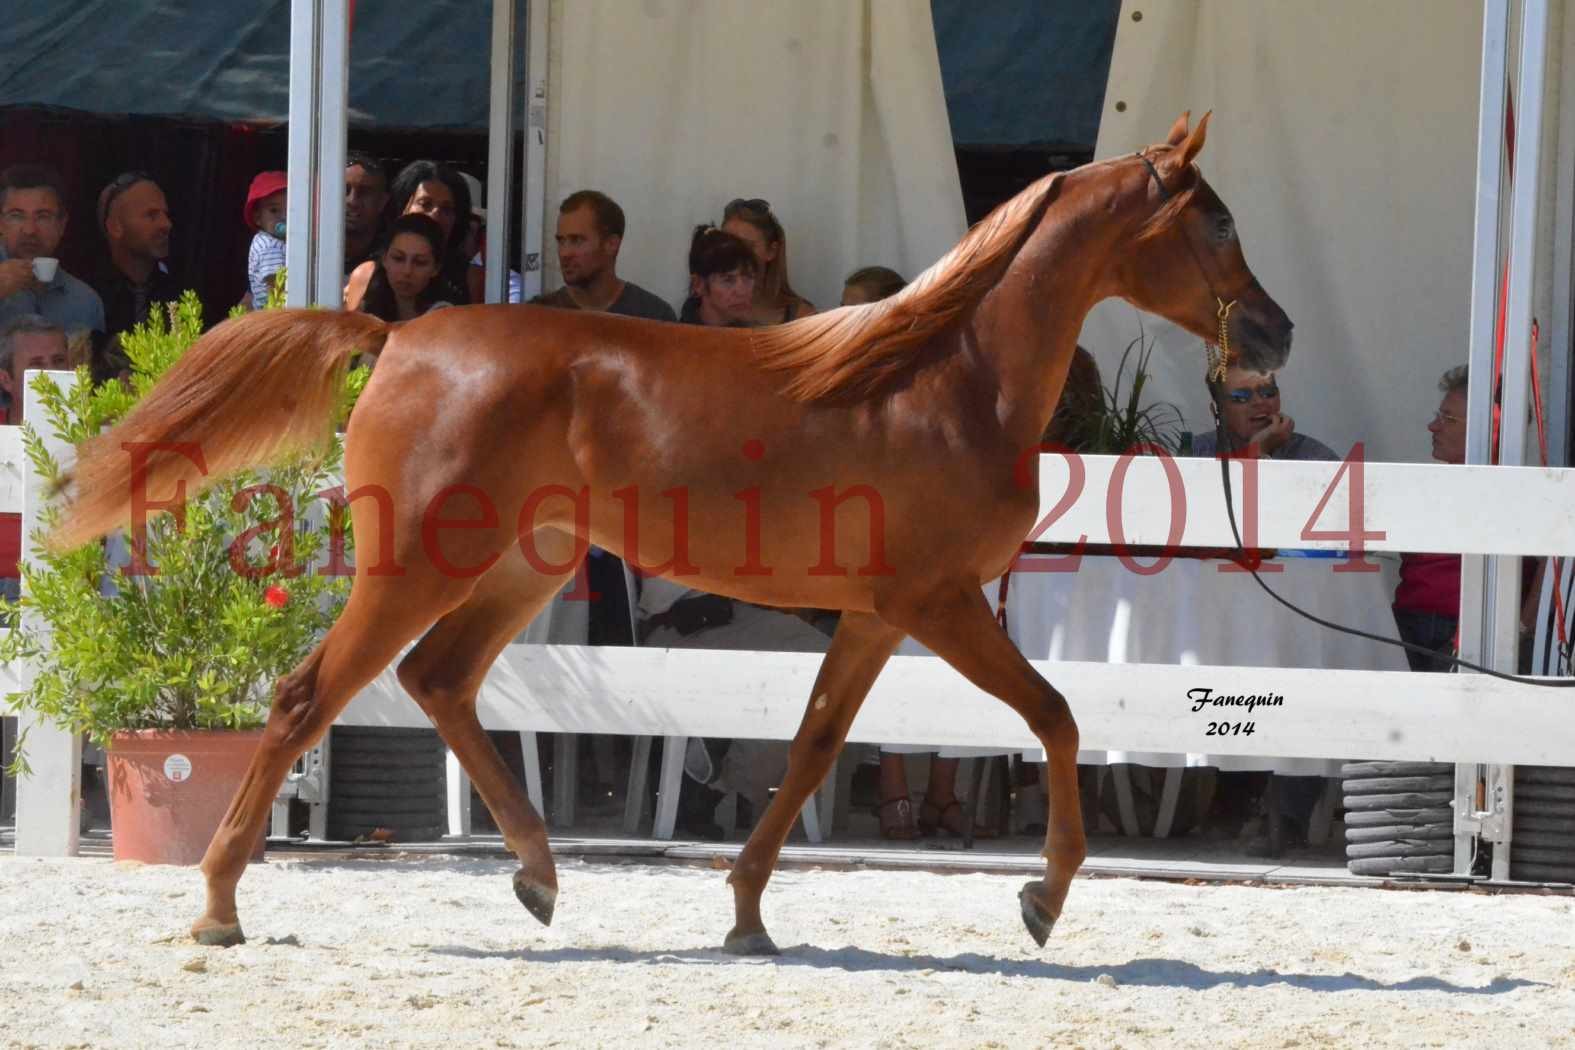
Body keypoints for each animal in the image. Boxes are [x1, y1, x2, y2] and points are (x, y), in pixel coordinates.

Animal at [55, 113, 1291, 950]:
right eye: (1218, 220)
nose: (1273, 334)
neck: (944, 380)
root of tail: (398, 334)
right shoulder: (938, 606)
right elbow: (1060, 718)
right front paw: (1042, 896)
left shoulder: (874, 619)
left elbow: (812, 747)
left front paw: (745, 911)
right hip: (418, 566)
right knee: (308, 695)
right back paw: (220, 905)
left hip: (516, 570)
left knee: (439, 681)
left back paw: (540, 878)